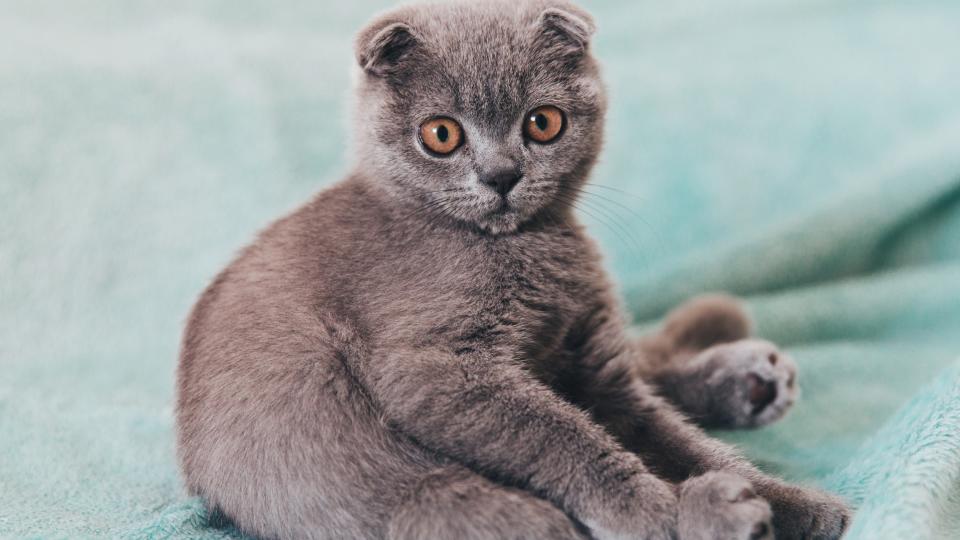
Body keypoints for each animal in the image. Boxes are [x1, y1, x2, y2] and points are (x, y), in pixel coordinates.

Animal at [176, 0, 852, 536]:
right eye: (441, 134)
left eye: (542, 122)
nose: (502, 176)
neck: (524, 251)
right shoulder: (435, 368)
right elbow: (563, 435)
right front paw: (669, 508)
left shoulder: (594, 357)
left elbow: (674, 437)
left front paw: (796, 504)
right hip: (438, 499)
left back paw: (747, 379)